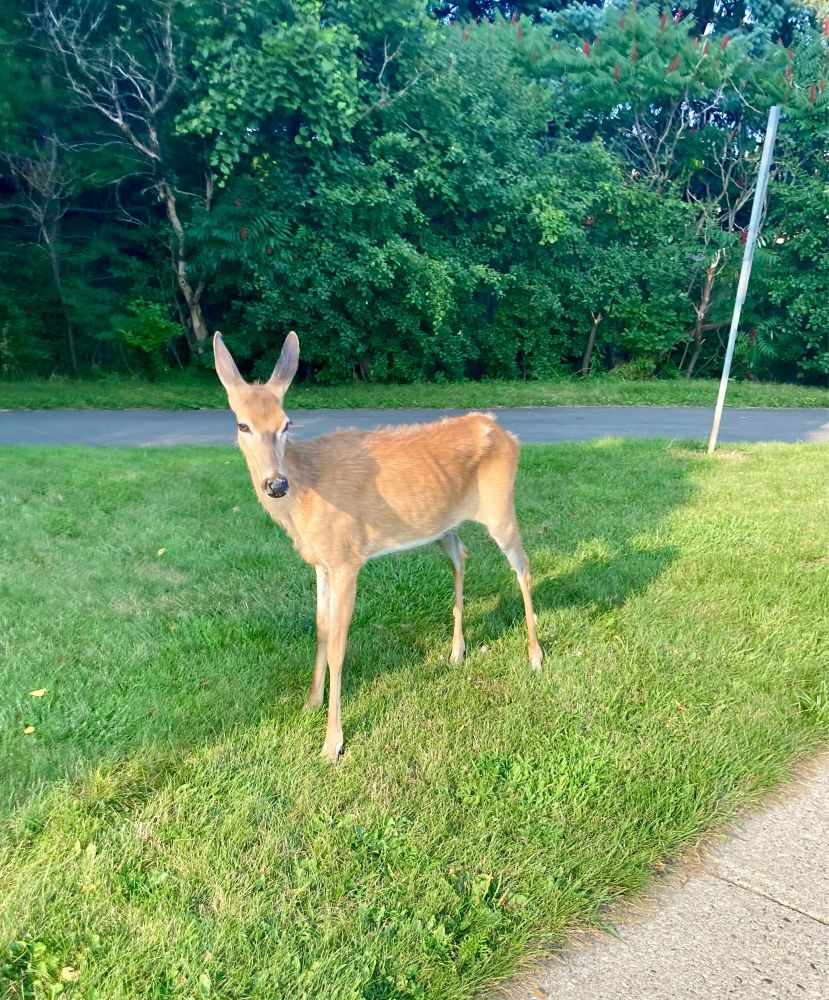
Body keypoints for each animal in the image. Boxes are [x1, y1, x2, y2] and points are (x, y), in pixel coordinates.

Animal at [213, 330, 543, 761]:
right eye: (243, 425)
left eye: (286, 424)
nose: (275, 484)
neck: (305, 493)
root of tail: (505, 432)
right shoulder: (320, 562)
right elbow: (320, 629)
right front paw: (310, 702)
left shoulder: (347, 558)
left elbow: (338, 645)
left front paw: (332, 742)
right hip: (443, 525)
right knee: (461, 557)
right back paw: (456, 652)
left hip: (500, 506)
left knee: (523, 565)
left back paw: (535, 655)